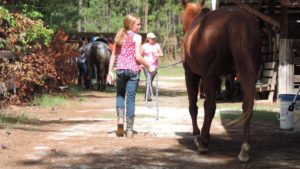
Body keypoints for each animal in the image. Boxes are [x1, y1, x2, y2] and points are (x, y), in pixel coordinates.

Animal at [180, 0, 262, 162]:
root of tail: (237, 18)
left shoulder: (192, 74)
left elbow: (194, 107)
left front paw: (197, 134)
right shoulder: (218, 78)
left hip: (209, 77)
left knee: (210, 107)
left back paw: (203, 142)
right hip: (246, 74)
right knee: (247, 106)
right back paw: (244, 148)